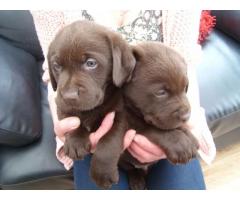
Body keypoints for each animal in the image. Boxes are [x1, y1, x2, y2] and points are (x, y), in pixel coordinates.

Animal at [47, 20, 136, 189]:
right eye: (57, 66)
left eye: (91, 63)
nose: (69, 96)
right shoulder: (61, 105)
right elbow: (72, 120)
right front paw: (75, 141)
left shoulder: (120, 114)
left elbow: (109, 141)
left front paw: (102, 173)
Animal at [120, 41, 199, 189]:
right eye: (161, 92)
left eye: (185, 87)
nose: (186, 116)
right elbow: (152, 128)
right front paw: (180, 143)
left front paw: (190, 137)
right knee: (130, 168)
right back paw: (137, 181)